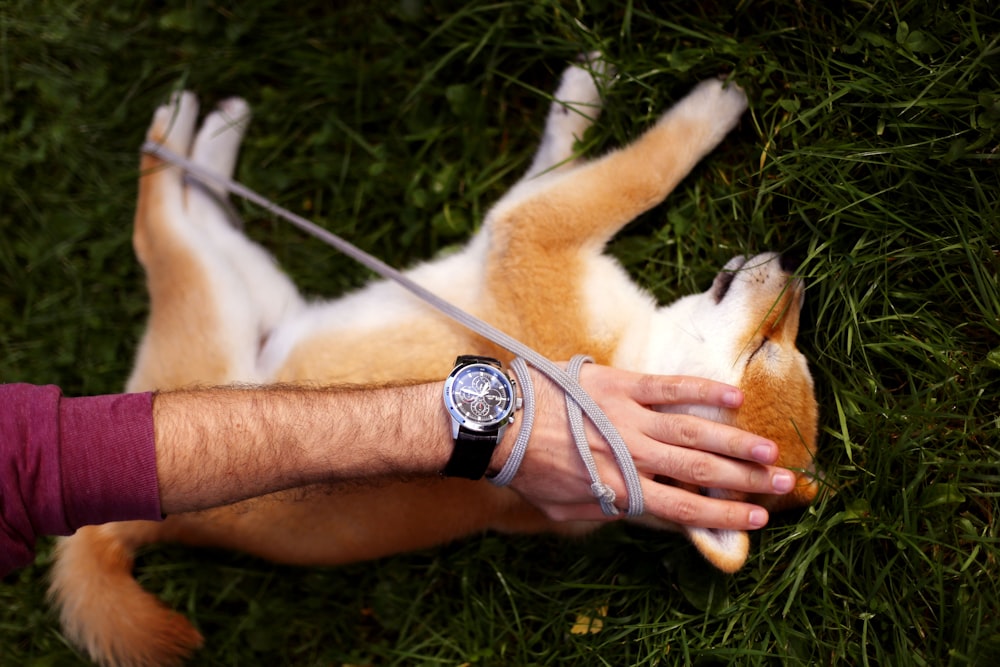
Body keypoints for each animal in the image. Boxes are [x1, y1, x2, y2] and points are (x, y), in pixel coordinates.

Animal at [48, 58, 820, 667]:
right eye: (777, 340)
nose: (794, 263)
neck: (622, 358)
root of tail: (158, 516)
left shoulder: (527, 232)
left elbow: (632, 172)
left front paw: (700, 110)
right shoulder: (531, 228)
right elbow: (599, 168)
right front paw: (588, 99)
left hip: (222, 300)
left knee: (162, 230)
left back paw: (188, 133)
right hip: (248, 293)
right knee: (182, 218)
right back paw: (200, 136)